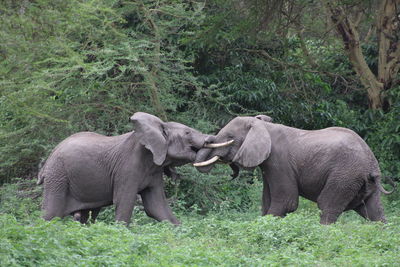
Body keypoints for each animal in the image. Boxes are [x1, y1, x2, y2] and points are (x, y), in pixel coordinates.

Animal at [38, 112, 230, 225]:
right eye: (188, 133)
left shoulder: (154, 170)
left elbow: (156, 206)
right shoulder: (127, 167)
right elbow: (125, 201)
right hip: (58, 176)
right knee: (50, 214)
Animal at [194, 116, 394, 225]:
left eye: (230, 137)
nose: (231, 172)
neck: (265, 127)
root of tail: (372, 166)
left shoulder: (279, 162)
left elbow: (286, 202)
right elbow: (266, 202)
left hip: (345, 175)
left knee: (327, 206)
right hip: (362, 182)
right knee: (373, 211)